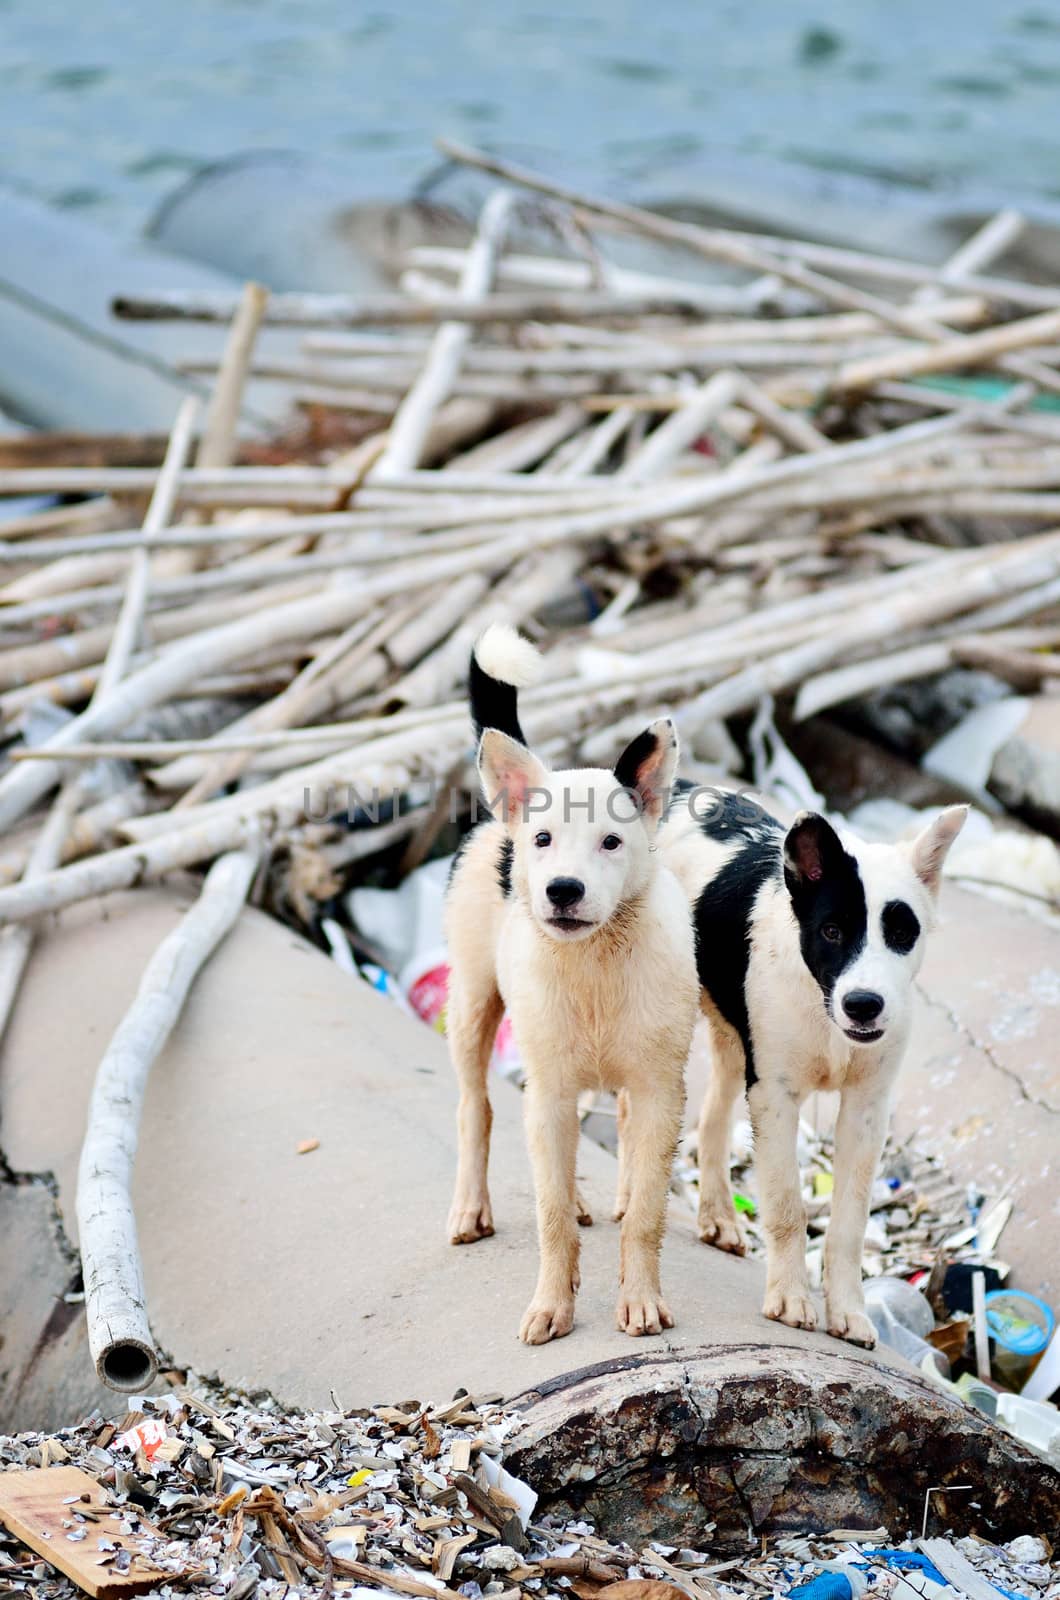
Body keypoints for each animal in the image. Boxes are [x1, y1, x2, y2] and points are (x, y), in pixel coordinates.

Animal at [445, 617, 701, 1344]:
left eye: (612, 842)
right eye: (544, 840)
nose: (562, 890)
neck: (594, 962)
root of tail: (495, 813)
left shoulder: (659, 1089)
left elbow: (646, 1211)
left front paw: (640, 1300)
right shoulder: (550, 1092)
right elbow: (551, 1211)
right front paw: (552, 1304)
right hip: (472, 1003)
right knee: (476, 1106)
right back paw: (470, 1207)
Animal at [666, 787, 973, 1350]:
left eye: (903, 933)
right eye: (831, 931)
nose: (864, 1005)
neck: (824, 1008)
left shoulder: (866, 1110)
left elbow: (849, 1223)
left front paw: (848, 1310)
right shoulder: (775, 1096)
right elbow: (788, 1204)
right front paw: (790, 1298)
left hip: (733, 1040)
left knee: (713, 1117)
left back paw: (718, 1215)